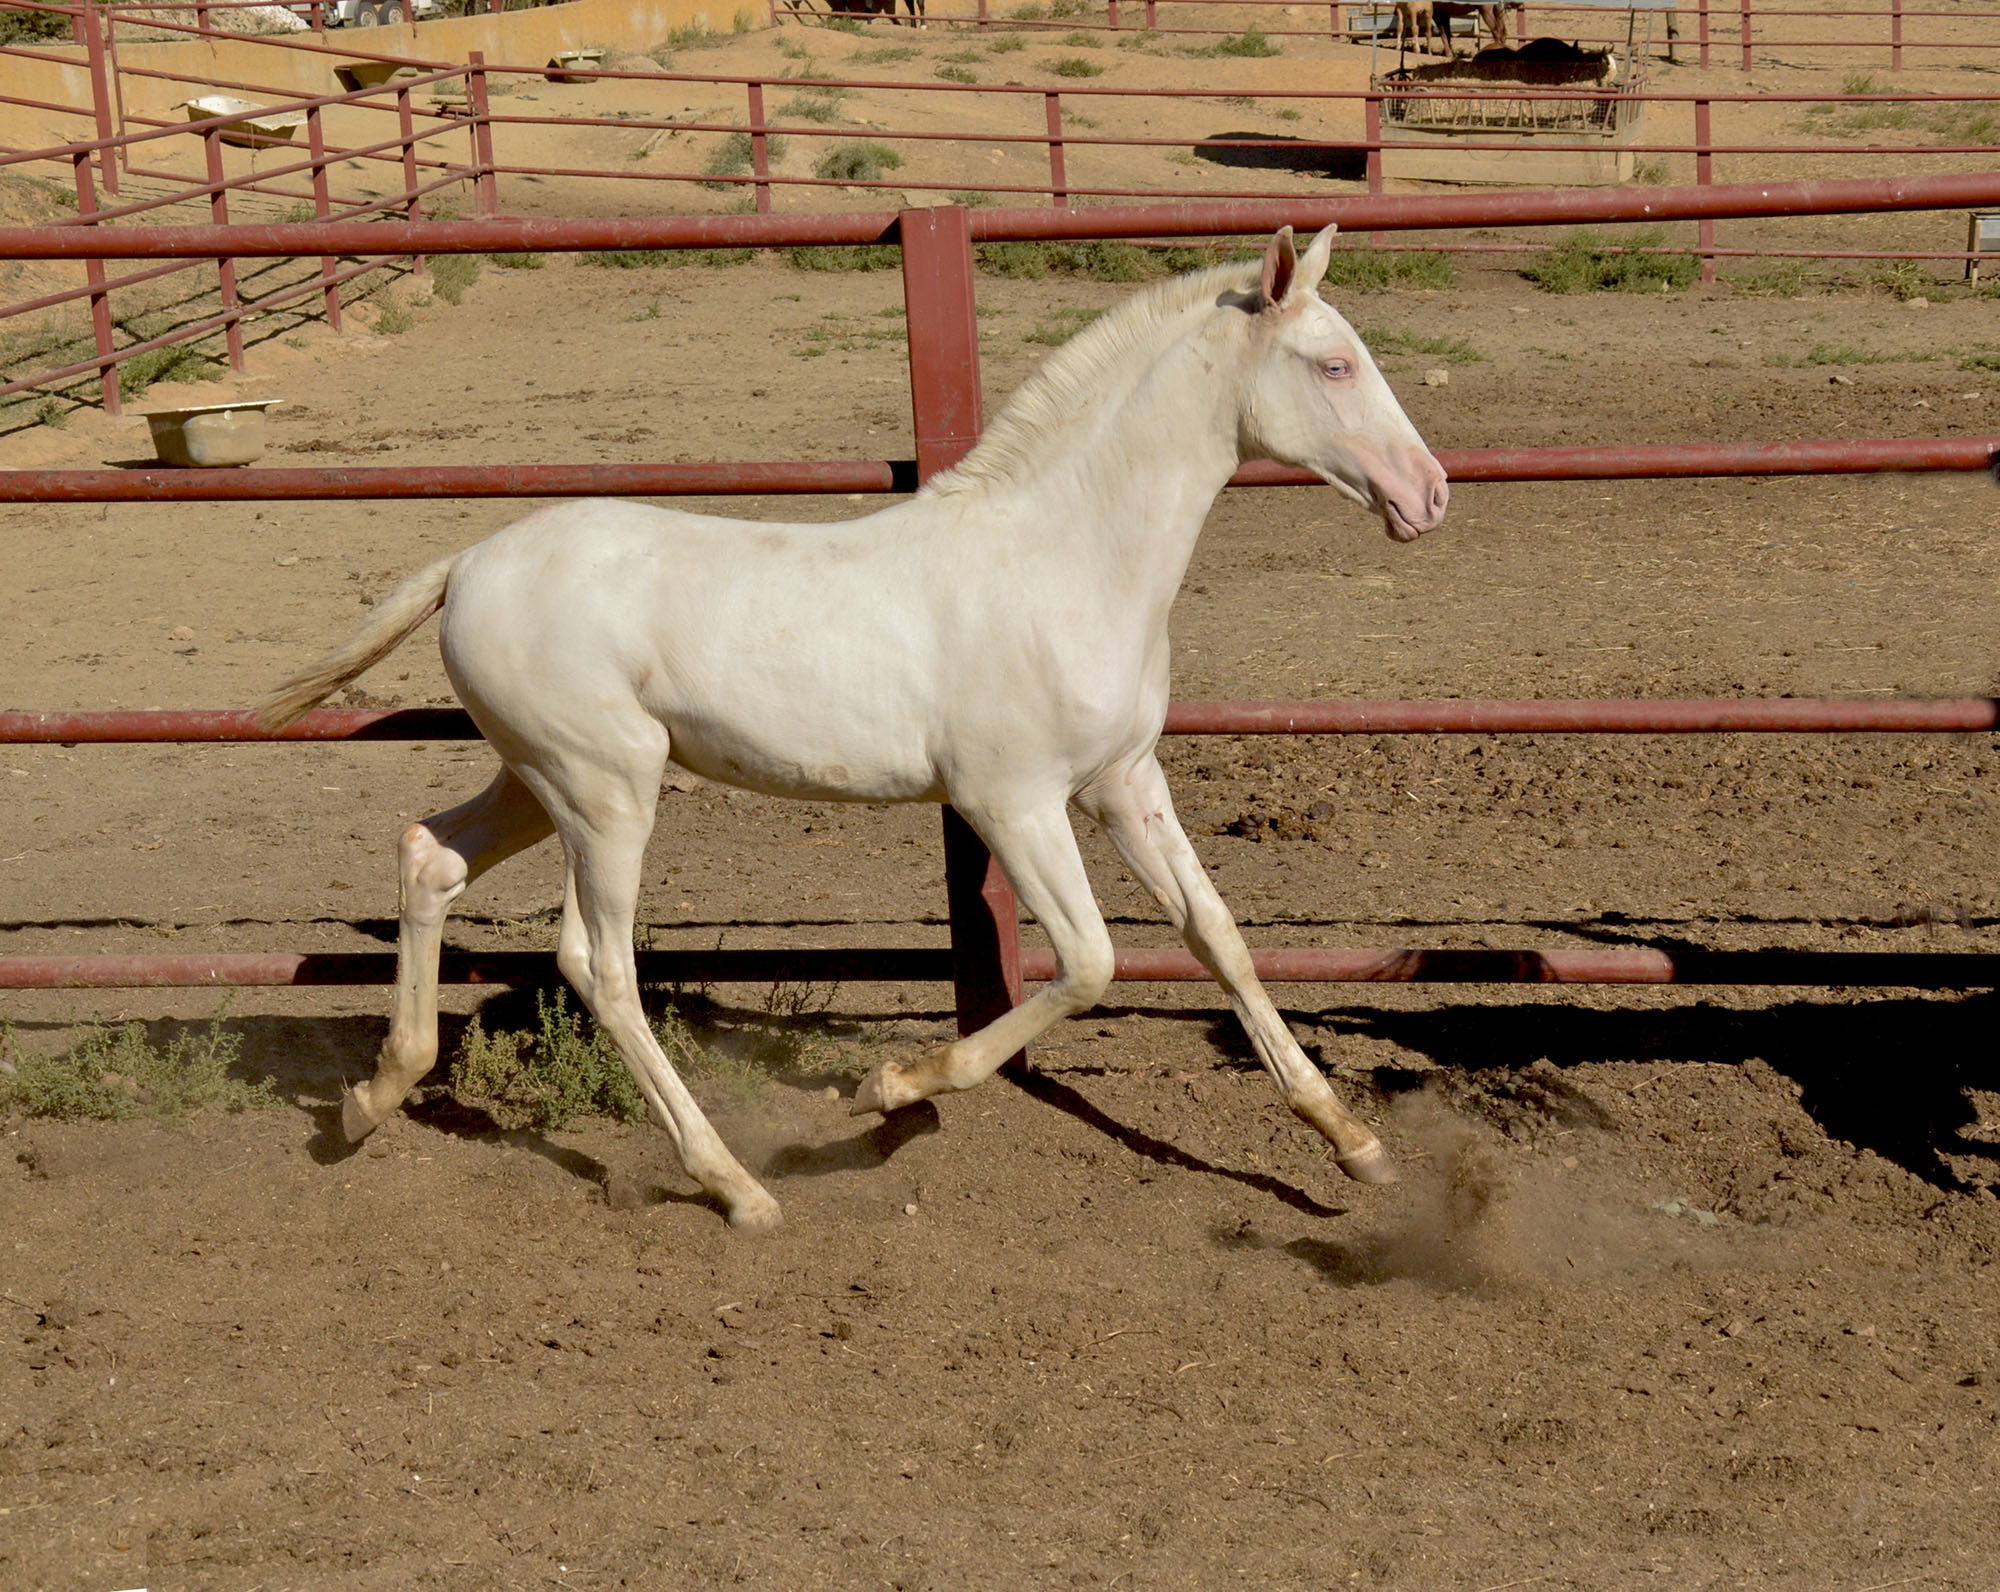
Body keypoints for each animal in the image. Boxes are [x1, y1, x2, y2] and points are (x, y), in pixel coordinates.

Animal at [266, 224, 1456, 1232]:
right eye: (1334, 366)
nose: (1430, 493)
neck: (1062, 559)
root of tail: (468, 562)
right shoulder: (1011, 799)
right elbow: (1088, 960)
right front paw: (887, 1086)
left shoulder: (1124, 776)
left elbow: (1216, 934)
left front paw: (1352, 1143)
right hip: (604, 790)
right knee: (595, 963)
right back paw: (737, 1187)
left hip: (538, 777)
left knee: (431, 859)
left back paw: (372, 1097)